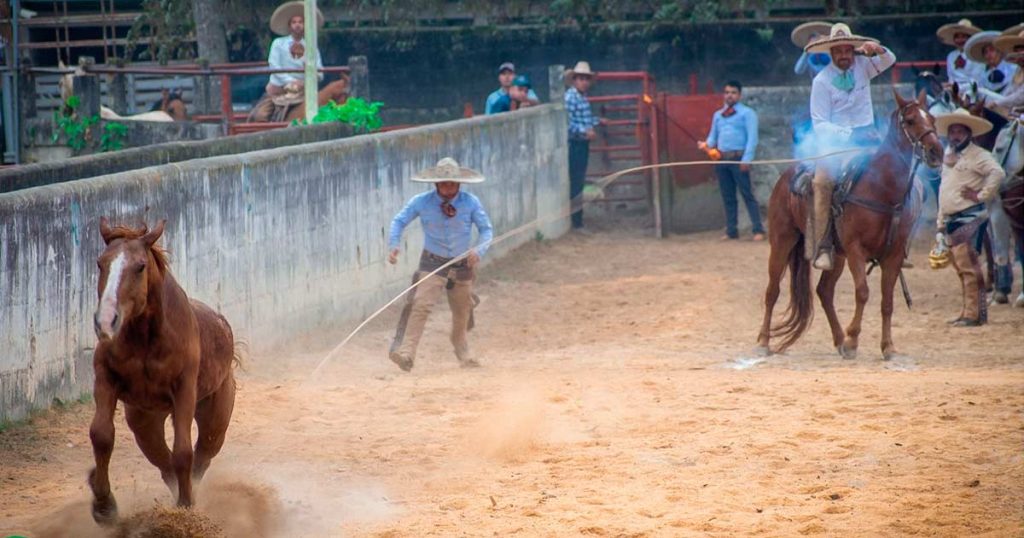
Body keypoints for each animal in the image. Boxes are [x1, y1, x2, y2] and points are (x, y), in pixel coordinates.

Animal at [90, 216, 237, 522]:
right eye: (100, 263)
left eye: (140, 266)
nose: (106, 320)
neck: (146, 339)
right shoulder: (105, 378)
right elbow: (101, 435)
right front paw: (104, 505)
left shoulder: (184, 390)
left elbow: (183, 452)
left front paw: (185, 508)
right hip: (144, 421)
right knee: (163, 461)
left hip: (215, 417)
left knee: (201, 455)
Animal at [753, 90, 942, 358]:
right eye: (911, 120)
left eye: (933, 120)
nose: (937, 151)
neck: (881, 191)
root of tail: (788, 174)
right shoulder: (855, 250)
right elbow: (862, 292)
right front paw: (853, 341)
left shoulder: (893, 256)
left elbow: (887, 301)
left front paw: (887, 346)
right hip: (782, 241)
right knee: (772, 291)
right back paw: (763, 341)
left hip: (836, 256)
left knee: (824, 291)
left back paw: (839, 339)